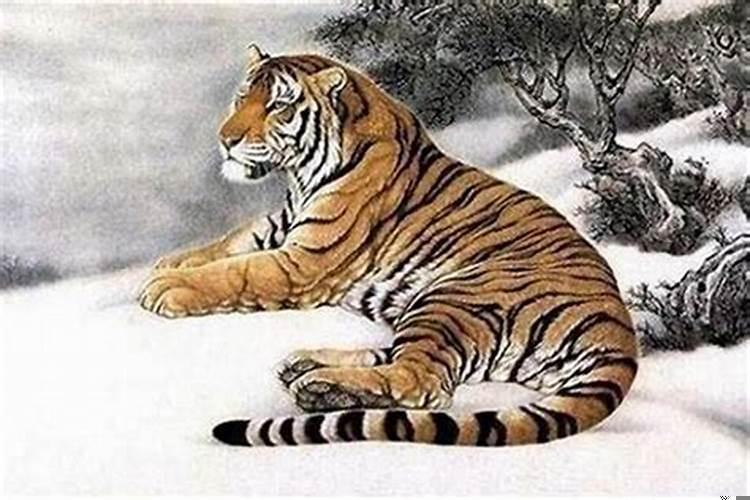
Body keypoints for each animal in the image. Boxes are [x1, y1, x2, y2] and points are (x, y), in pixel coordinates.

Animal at [139, 44, 638, 447]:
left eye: (278, 105)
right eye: (243, 96)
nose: (226, 140)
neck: (300, 175)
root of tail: (619, 330)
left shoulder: (302, 262)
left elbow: (234, 272)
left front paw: (165, 288)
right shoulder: (281, 225)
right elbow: (227, 243)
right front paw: (168, 264)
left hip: (453, 297)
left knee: (421, 382)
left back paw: (318, 386)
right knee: (400, 361)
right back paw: (305, 367)